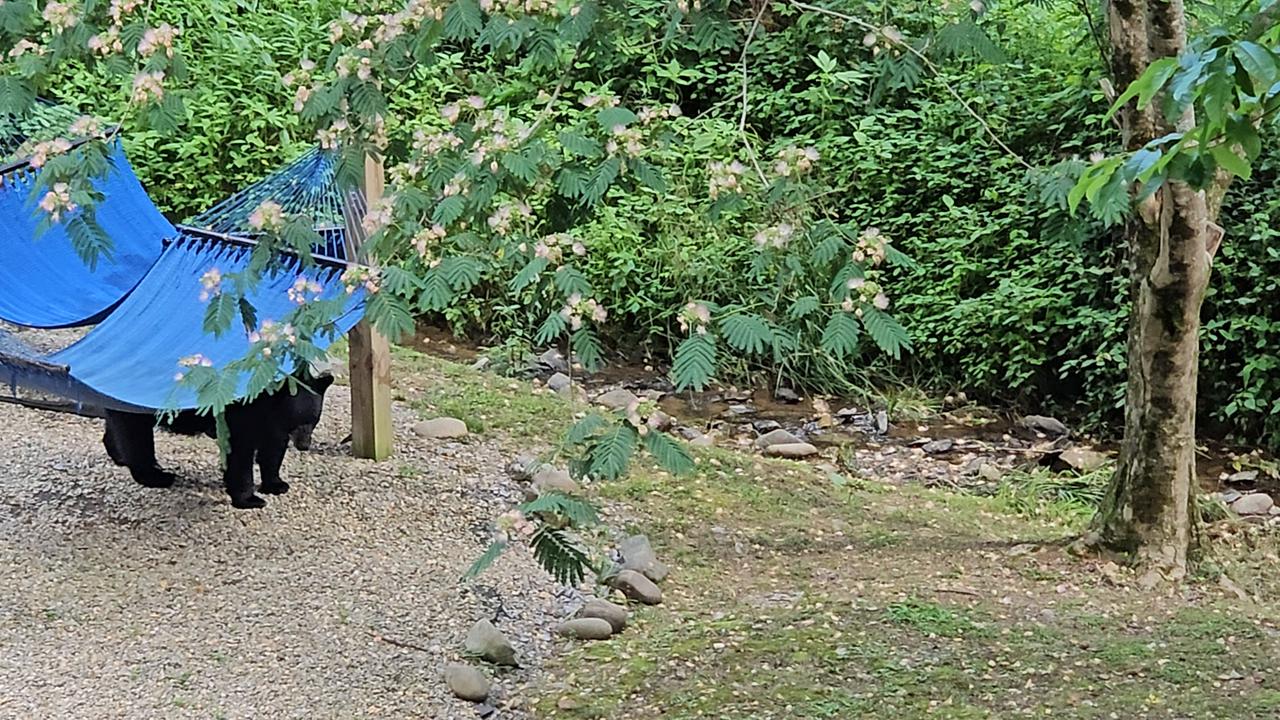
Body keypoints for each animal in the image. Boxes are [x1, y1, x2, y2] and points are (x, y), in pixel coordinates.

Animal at [102, 373, 335, 509]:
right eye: (300, 422)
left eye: (313, 420)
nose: (304, 445)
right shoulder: (241, 413)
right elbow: (240, 452)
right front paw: (249, 499)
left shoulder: (274, 424)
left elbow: (273, 449)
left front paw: (276, 484)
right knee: (135, 435)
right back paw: (155, 476)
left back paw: (119, 456)